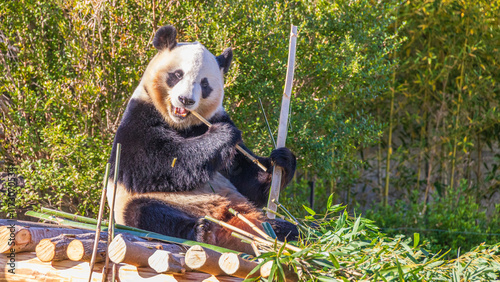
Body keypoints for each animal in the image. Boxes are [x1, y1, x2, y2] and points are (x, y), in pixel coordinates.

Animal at [107, 24, 296, 253]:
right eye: (177, 75)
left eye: (204, 84)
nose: (185, 100)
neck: (181, 125)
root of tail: (223, 222)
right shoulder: (138, 116)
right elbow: (154, 162)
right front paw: (223, 135)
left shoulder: (216, 119)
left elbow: (246, 179)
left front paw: (282, 160)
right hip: (144, 205)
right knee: (146, 214)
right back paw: (199, 230)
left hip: (247, 213)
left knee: (286, 228)